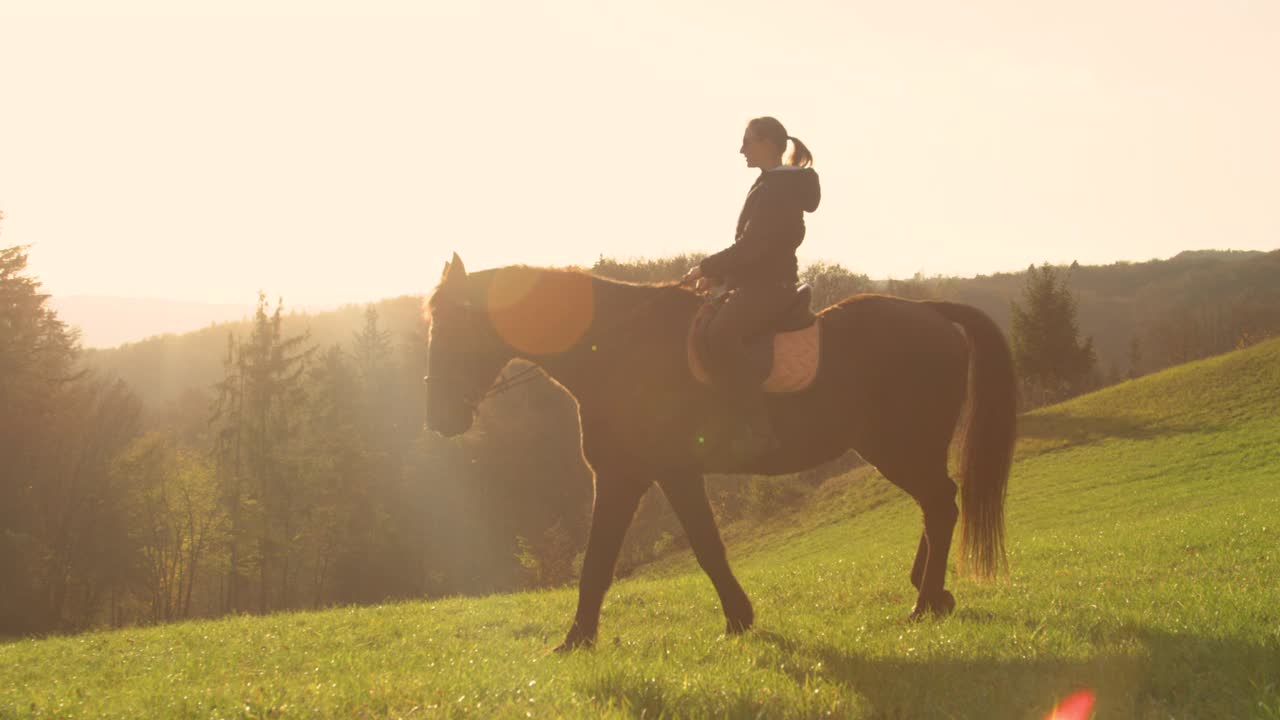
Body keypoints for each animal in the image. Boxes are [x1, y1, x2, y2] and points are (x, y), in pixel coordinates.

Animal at [424, 253, 1013, 650]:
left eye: (452, 326)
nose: (438, 418)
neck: (620, 348)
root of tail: (930, 313)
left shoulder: (659, 473)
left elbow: (690, 549)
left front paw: (736, 620)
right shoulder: (626, 474)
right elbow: (606, 559)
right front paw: (578, 641)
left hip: (900, 447)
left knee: (940, 505)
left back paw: (923, 604)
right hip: (902, 448)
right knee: (937, 504)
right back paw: (932, 594)